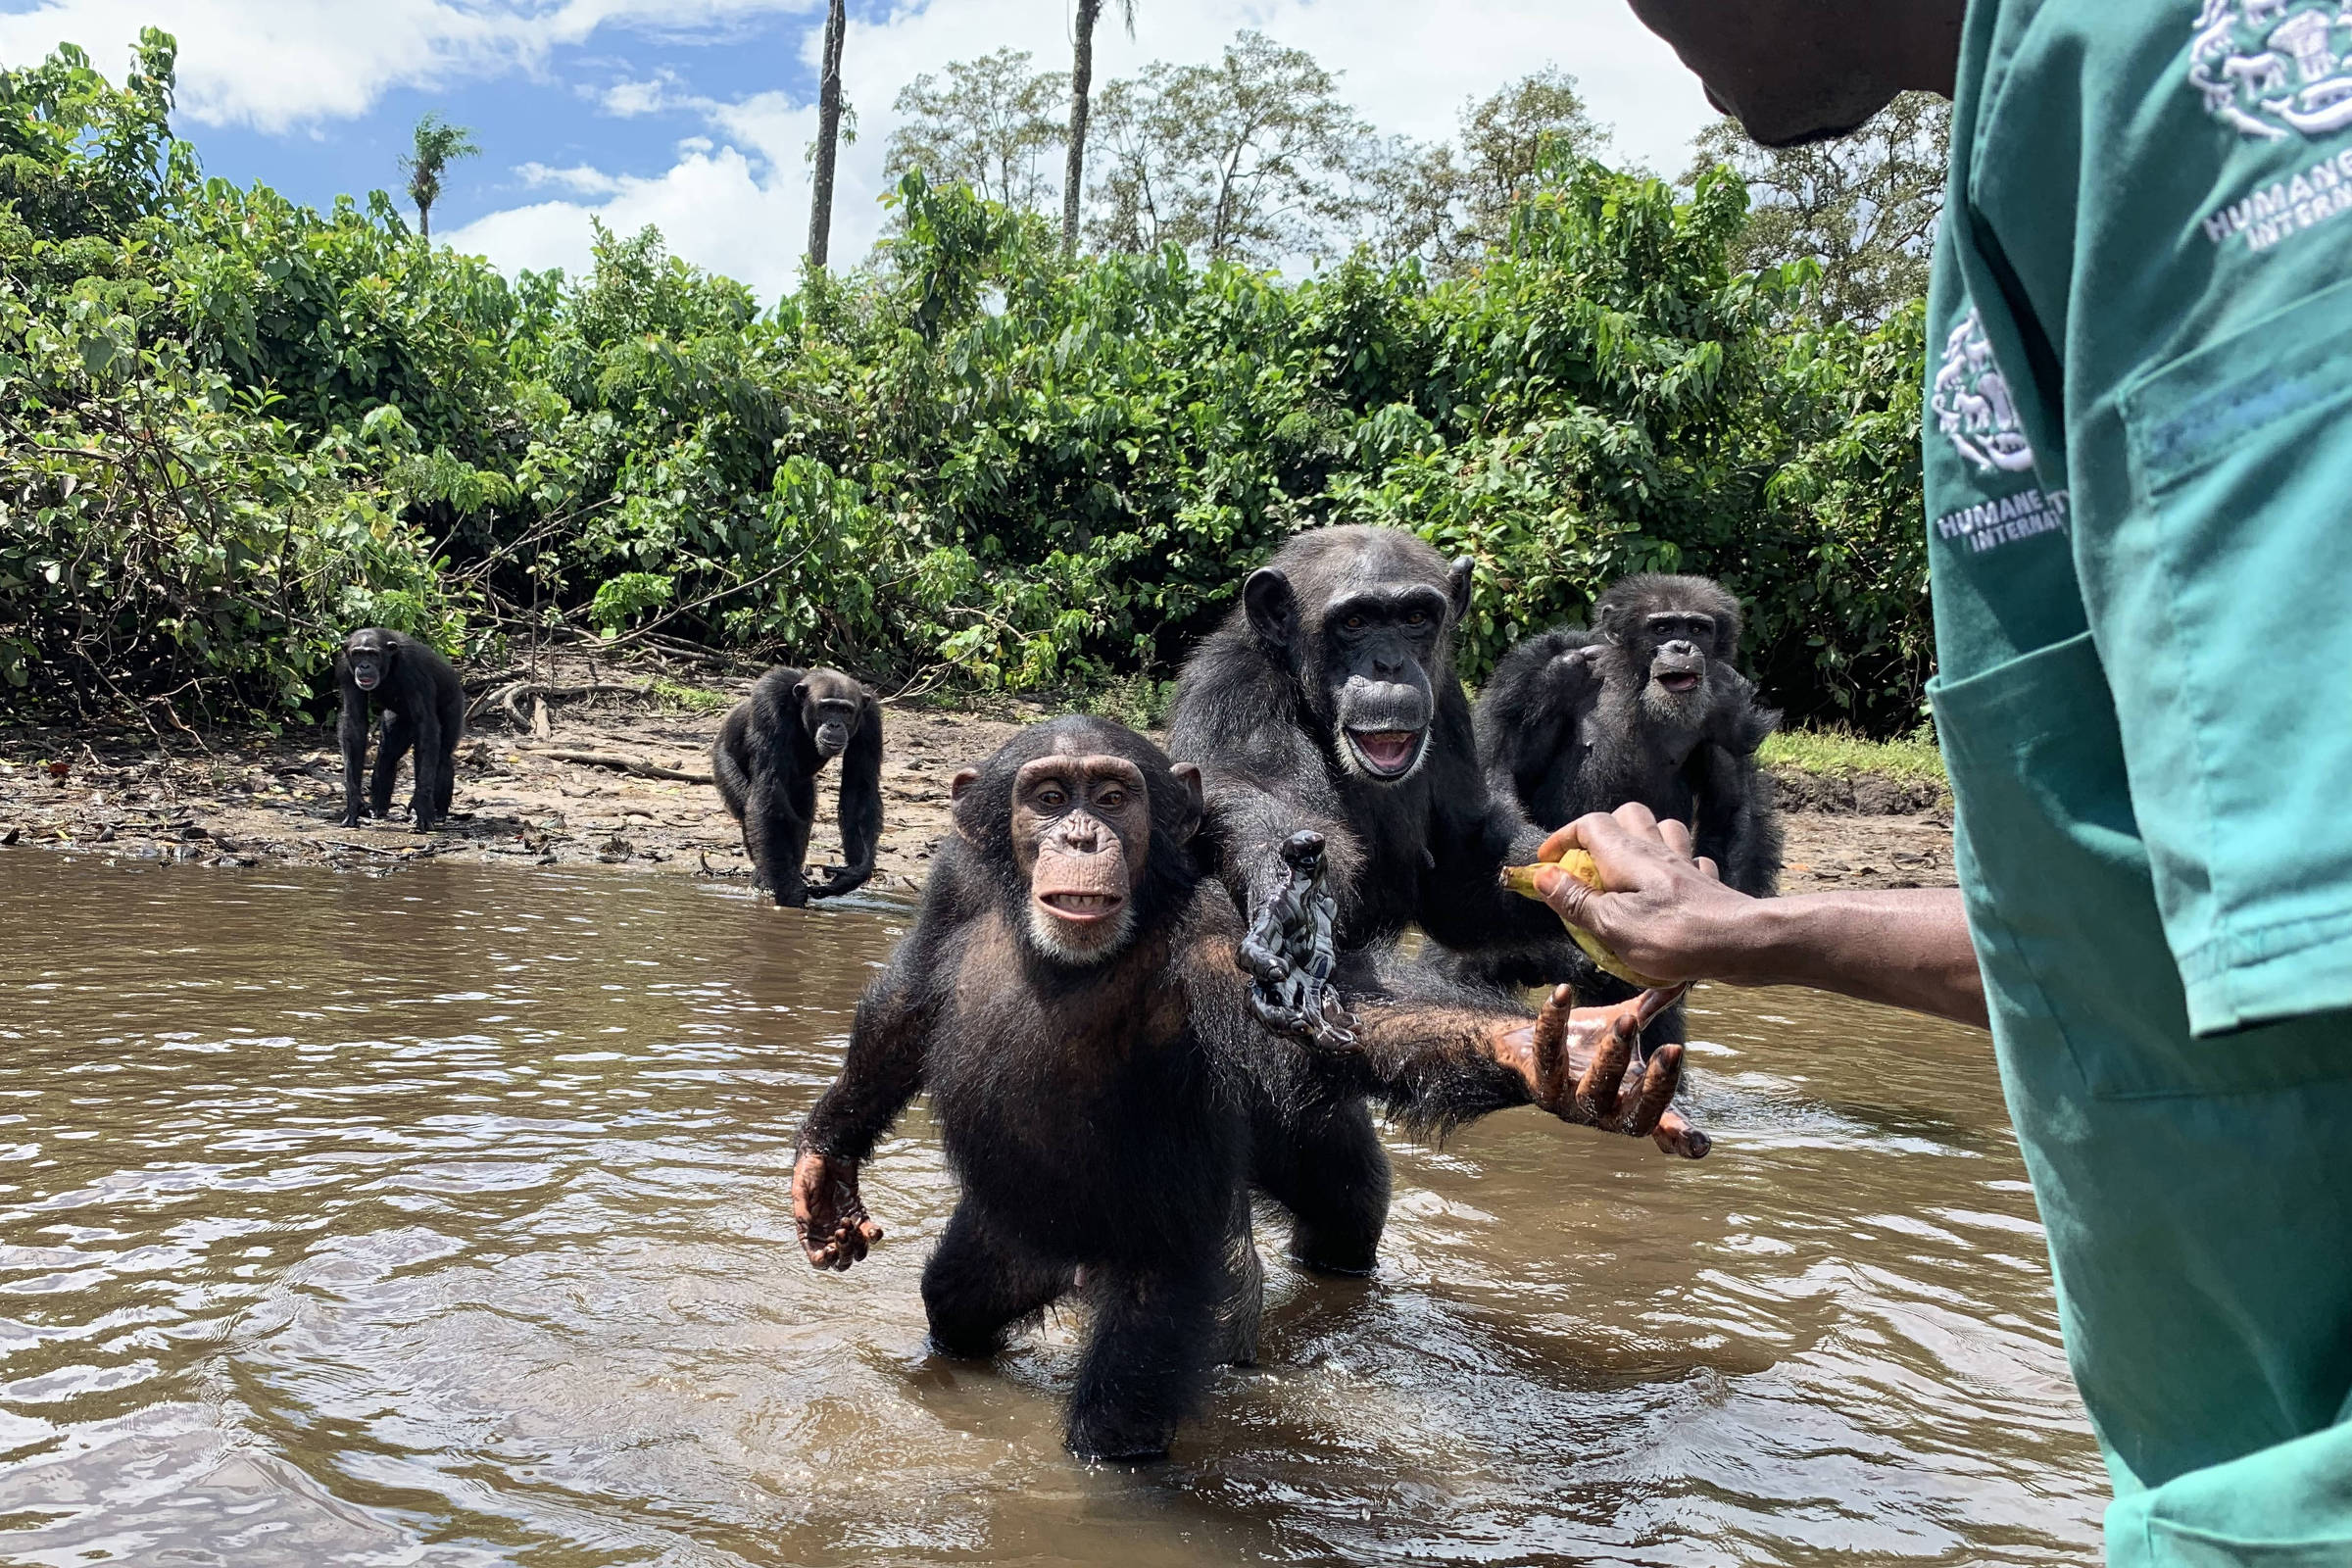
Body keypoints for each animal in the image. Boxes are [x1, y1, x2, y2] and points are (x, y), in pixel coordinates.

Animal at [338, 625, 466, 832]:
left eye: (372, 654)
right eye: (357, 654)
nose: (364, 666)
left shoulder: (414, 671)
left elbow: (426, 724)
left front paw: (421, 804)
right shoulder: (344, 668)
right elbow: (354, 722)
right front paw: (354, 802)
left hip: (454, 703)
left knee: (442, 755)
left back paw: (438, 813)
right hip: (398, 719)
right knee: (388, 754)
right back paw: (378, 808)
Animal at [706, 672, 884, 911]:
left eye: (845, 710)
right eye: (827, 708)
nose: (835, 724)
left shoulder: (871, 720)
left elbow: (859, 789)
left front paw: (853, 873)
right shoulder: (769, 702)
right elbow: (770, 788)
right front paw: (790, 891)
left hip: (803, 789)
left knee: (800, 824)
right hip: (723, 762)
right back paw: (765, 884)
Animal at [795, 719, 1693, 1466]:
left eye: (1113, 797)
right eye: (1048, 797)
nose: (1081, 833)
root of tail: (1073, 1270)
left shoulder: (1214, 938)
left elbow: (1340, 1021)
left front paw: (1548, 1057)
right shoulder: (952, 882)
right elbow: (909, 1005)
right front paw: (824, 1169)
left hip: (1171, 1273)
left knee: (1120, 1414)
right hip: (1007, 1238)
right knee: (954, 1303)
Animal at [1477, 575, 1788, 903]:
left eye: (1697, 629)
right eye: (1662, 629)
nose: (1683, 646)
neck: (1635, 682)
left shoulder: (1728, 705)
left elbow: (1732, 806)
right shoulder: (1543, 676)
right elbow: (1503, 772)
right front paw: (1534, 851)